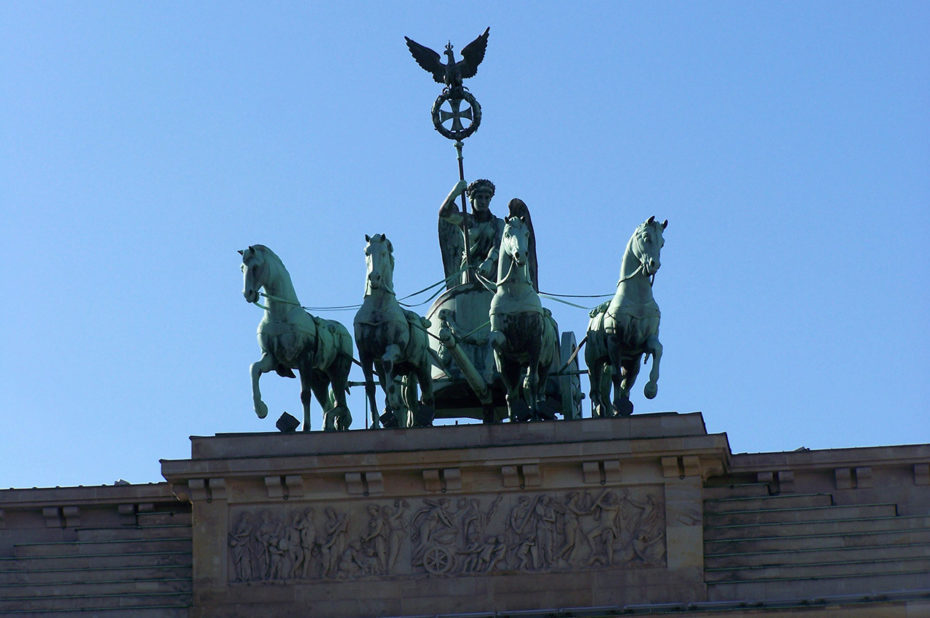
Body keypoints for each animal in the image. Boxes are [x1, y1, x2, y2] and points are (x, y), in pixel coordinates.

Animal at [239, 244, 352, 428]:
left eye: (255, 267)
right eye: (242, 268)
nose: (248, 293)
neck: (280, 314)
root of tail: (345, 332)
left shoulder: (304, 359)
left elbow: (304, 395)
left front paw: (306, 428)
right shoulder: (271, 357)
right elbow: (254, 368)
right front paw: (261, 409)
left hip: (338, 373)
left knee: (342, 408)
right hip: (318, 378)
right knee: (331, 407)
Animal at [584, 215, 664, 414]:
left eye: (662, 243)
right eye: (646, 237)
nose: (654, 265)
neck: (637, 300)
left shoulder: (644, 343)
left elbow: (658, 349)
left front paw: (651, 388)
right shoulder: (614, 342)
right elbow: (615, 377)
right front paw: (618, 404)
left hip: (631, 363)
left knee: (626, 382)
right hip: (593, 360)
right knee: (595, 389)